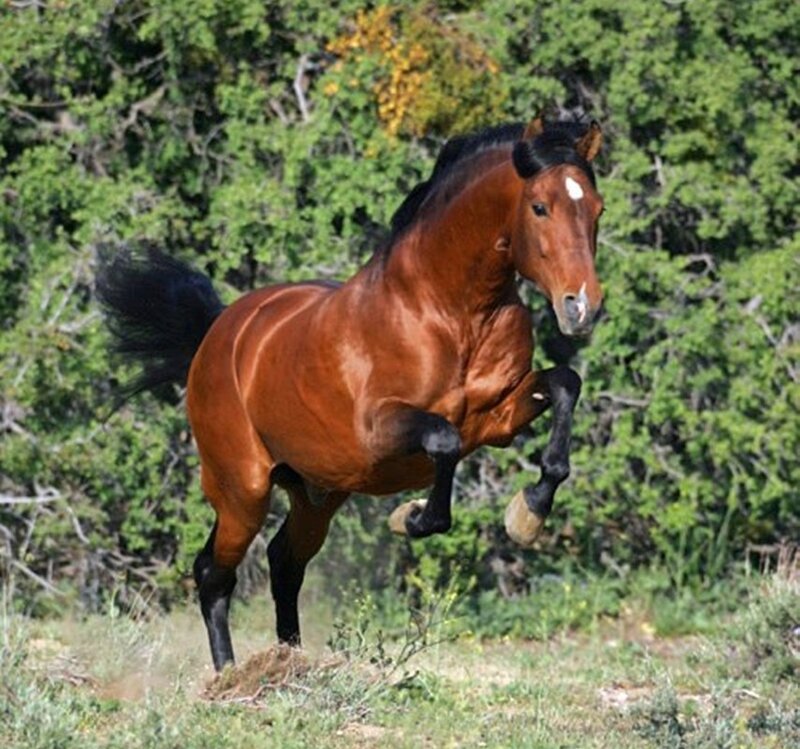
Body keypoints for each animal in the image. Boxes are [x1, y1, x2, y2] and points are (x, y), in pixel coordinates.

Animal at [97, 115, 604, 671]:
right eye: (540, 207)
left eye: (596, 209)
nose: (583, 307)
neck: (451, 312)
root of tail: (218, 332)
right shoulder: (379, 433)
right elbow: (443, 442)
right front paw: (411, 518)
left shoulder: (497, 419)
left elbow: (565, 386)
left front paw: (527, 515)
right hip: (242, 491)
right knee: (214, 573)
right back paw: (230, 674)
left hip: (315, 495)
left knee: (283, 563)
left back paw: (291, 662)